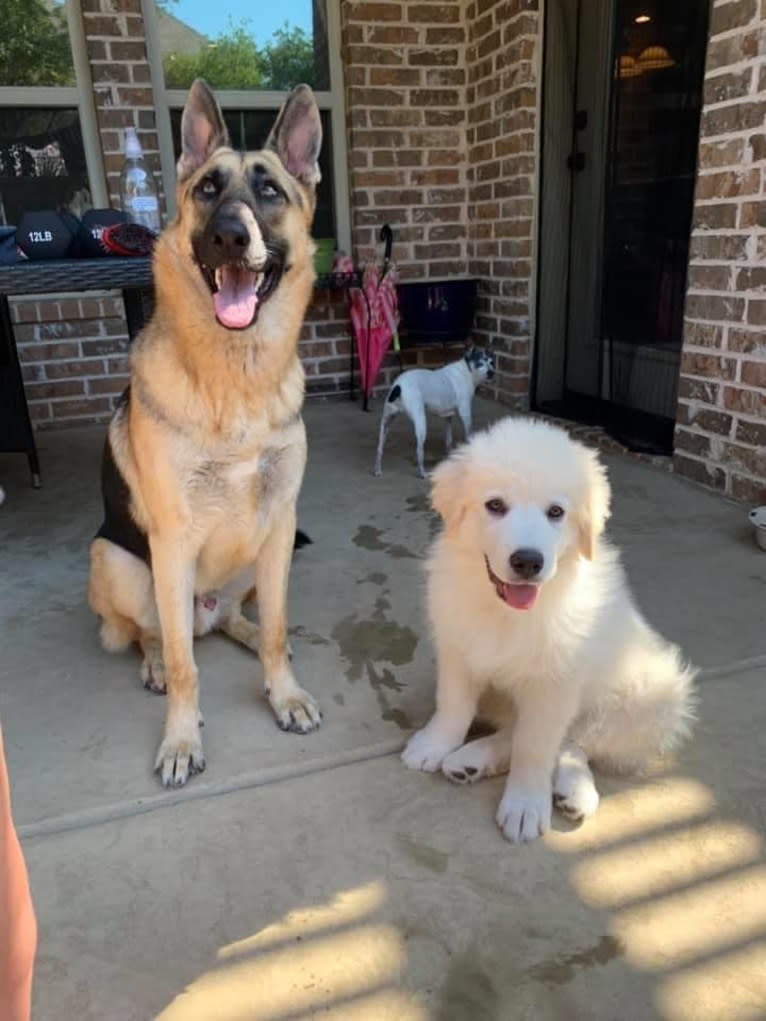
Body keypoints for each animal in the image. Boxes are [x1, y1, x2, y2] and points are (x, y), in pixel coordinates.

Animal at [89, 81, 324, 788]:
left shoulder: (279, 522)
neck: (234, 378)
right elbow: (186, 665)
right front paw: (180, 739)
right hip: (119, 563)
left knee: (240, 621)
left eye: (270, 191)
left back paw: (247, 641)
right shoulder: (170, 544)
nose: (228, 236)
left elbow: (276, 628)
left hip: (258, 556)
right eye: (207, 189)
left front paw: (283, 690)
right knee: (157, 635)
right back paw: (155, 665)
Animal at [373, 347, 494, 477]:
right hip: (420, 422)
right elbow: (468, 436)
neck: (467, 370)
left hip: (386, 422)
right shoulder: (465, 413)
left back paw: (377, 469)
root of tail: (399, 386)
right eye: (480, 363)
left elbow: (448, 439)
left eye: (492, 362)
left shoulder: (448, 416)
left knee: (379, 448)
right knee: (419, 451)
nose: (491, 373)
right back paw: (423, 473)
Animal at [404, 416, 698, 845]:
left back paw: (572, 791)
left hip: (654, 694)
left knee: (576, 740)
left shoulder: (554, 685)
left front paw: (525, 804)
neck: (508, 612)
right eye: (495, 505)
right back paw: (471, 760)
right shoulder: (458, 647)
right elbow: (453, 706)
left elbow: (535, 746)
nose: (528, 561)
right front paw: (434, 744)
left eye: (556, 512)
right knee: (525, 730)